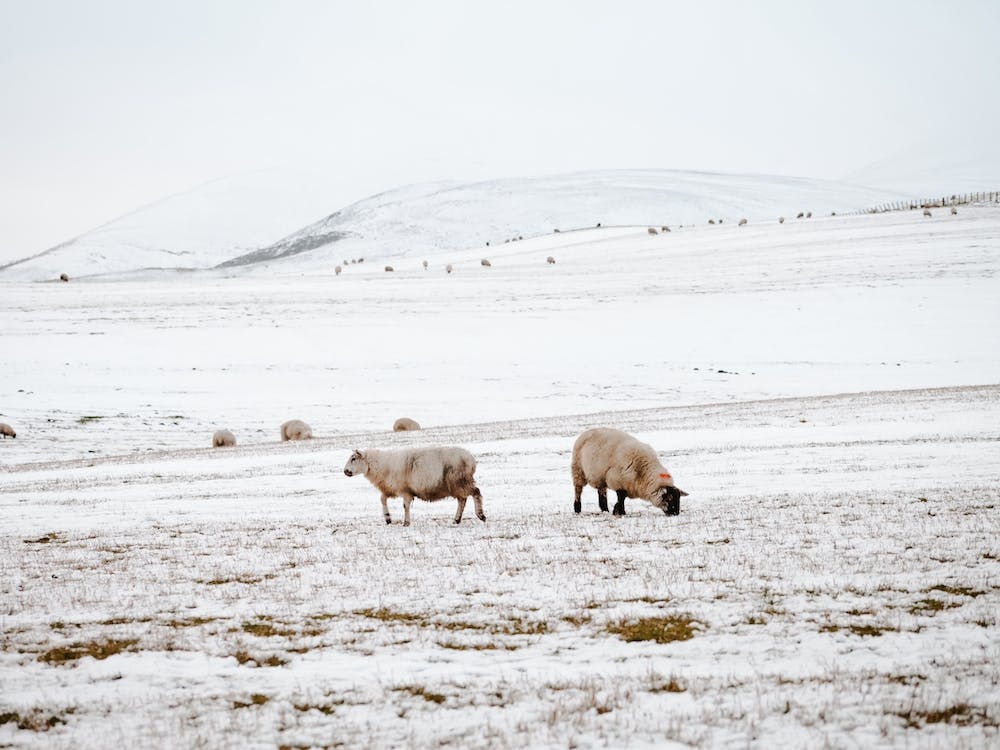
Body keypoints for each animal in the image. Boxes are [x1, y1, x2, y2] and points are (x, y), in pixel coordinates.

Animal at [343, 447, 484, 525]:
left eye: (353, 459)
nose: (345, 471)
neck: (380, 465)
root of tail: (471, 460)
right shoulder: (390, 489)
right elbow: (382, 499)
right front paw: (388, 518)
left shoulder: (405, 491)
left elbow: (405, 506)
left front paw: (406, 523)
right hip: (457, 484)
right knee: (462, 500)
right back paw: (457, 520)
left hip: (460, 481)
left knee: (476, 492)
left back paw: (480, 515)